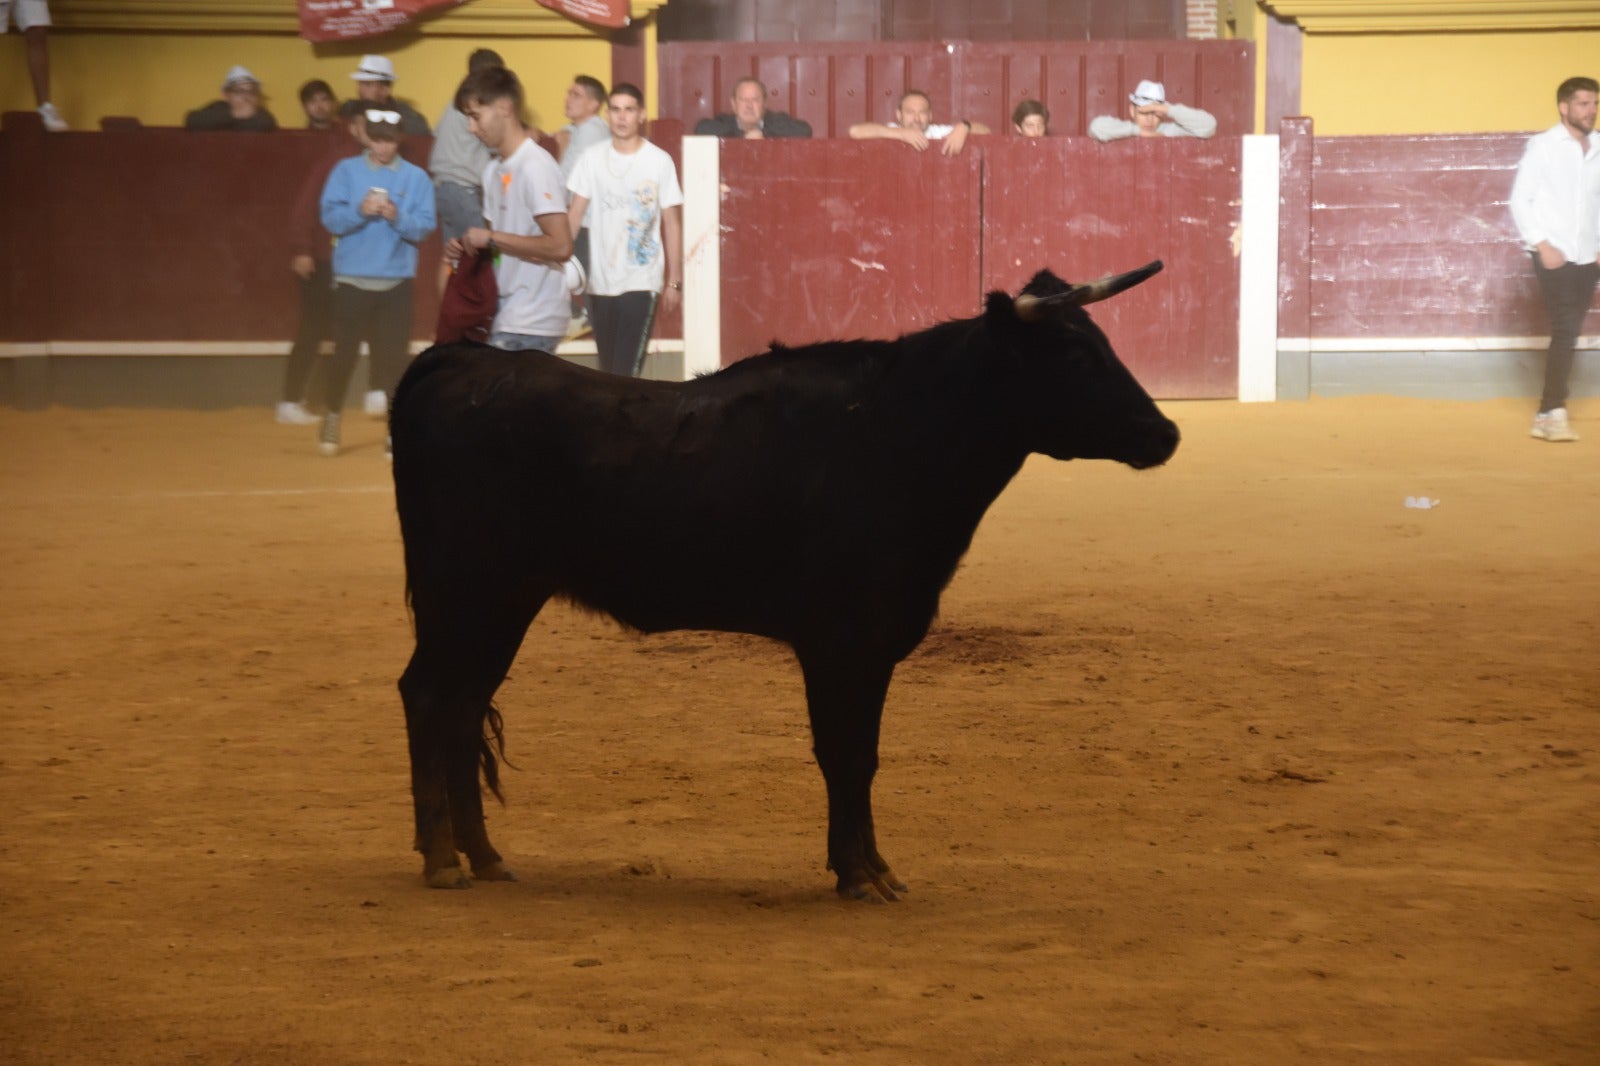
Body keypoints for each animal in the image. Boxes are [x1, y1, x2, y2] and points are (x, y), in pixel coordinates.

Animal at [393, 260, 1184, 889]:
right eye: (1076, 355)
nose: (1165, 433)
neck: (895, 433)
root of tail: (457, 363)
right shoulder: (839, 642)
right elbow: (844, 753)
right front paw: (859, 874)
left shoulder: (873, 646)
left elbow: (863, 755)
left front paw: (873, 868)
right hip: (465, 593)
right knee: (430, 696)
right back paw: (442, 861)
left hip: (502, 602)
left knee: (463, 705)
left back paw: (485, 857)